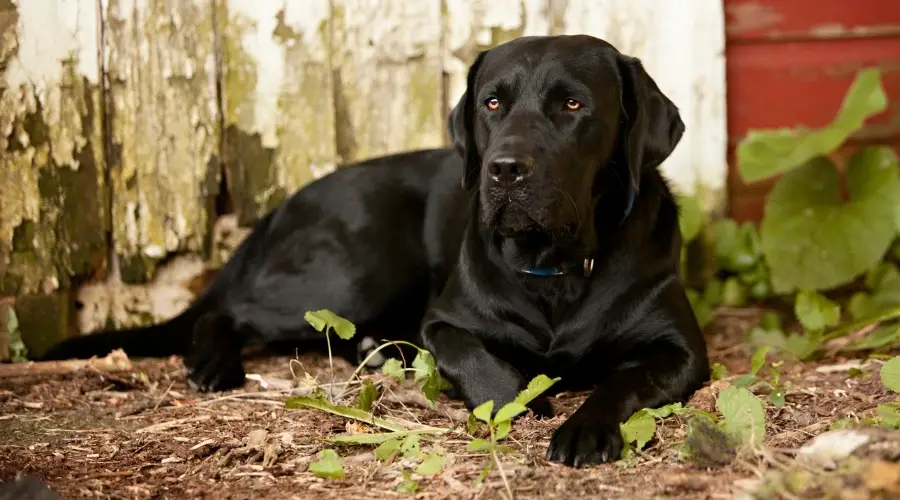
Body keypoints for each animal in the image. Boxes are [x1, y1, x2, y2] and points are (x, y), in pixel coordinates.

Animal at [44, 36, 712, 468]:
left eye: (573, 104)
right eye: (492, 103)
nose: (503, 170)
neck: (556, 269)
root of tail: (285, 203)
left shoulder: (681, 351)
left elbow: (620, 383)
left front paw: (585, 429)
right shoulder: (445, 321)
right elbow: (474, 359)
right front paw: (519, 397)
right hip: (359, 274)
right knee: (225, 310)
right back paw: (213, 364)